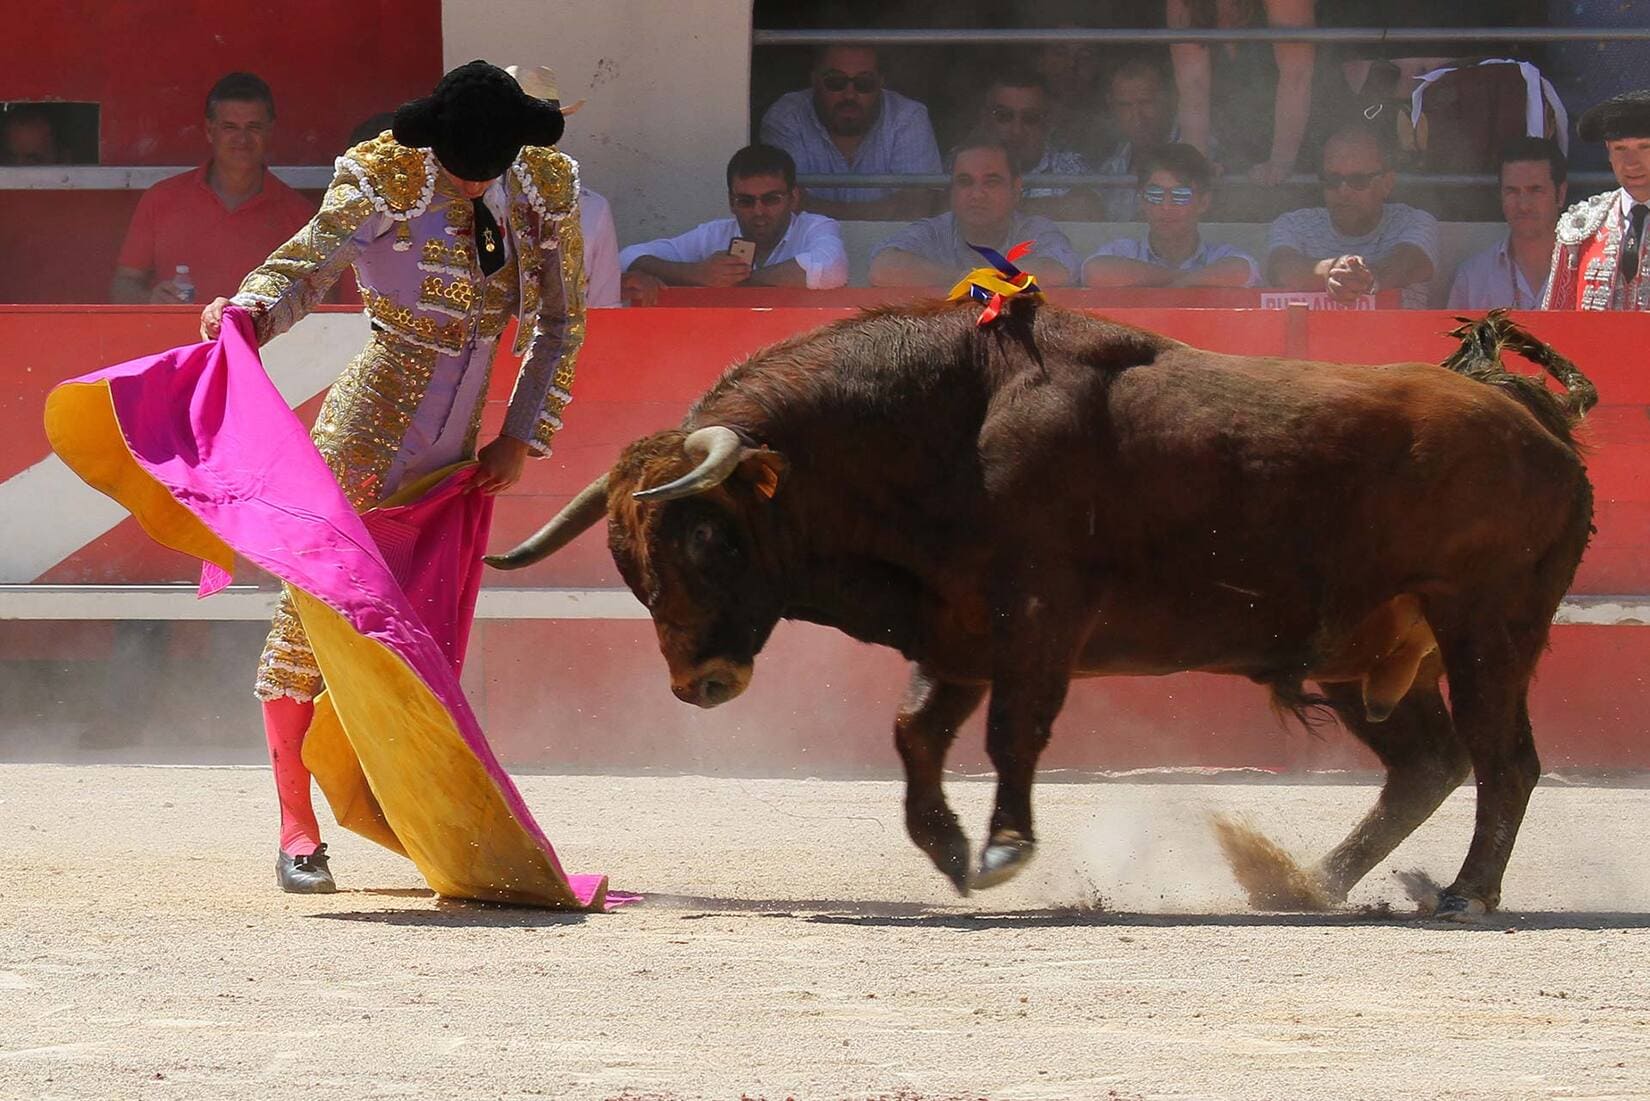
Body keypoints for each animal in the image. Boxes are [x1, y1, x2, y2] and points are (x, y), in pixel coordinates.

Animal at [488, 297, 1597, 917]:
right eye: (628, 564)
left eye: (710, 540)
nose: (700, 682)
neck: (942, 425)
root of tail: (1531, 417)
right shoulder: (956, 630)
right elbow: (916, 732)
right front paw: (950, 849)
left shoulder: (1035, 624)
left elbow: (1012, 734)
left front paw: (1005, 848)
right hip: (1369, 653)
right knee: (1428, 765)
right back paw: (1304, 884)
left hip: (1487, 627)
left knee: (1504, 762)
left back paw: (1464, 894)